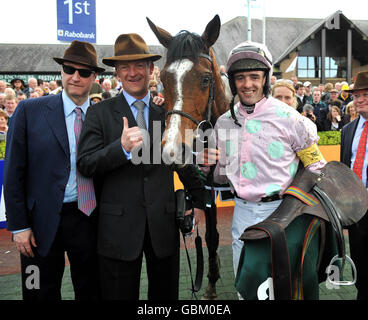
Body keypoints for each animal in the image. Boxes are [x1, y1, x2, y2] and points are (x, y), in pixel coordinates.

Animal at [147, 15, 230, 300]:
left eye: (206, 79)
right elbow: (211, 237)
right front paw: (212, 282)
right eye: (163, 77)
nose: (173, 149)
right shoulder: (206, 191)